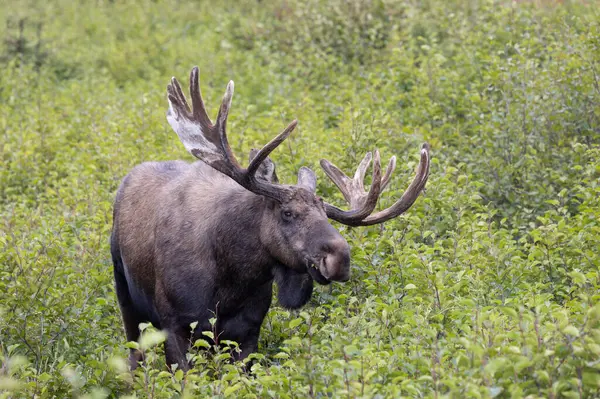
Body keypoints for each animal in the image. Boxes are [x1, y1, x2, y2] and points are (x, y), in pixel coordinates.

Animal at [111, 66, 432, 372]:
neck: (231, 277)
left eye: (325, 213)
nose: (340, 258)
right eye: (287, 213)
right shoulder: (176, 325)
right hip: (127, 301)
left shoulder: (248, 331)